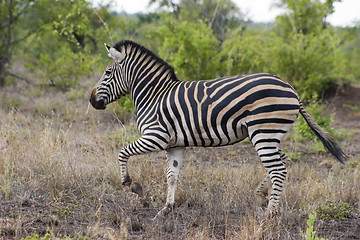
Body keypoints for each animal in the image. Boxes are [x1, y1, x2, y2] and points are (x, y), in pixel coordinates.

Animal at [88, 39, 348, 219]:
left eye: (107, 73)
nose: (91, 100)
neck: (155, 95)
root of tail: (292, 89)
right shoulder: (174, 144)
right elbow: (172, 176)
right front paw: (166, 209)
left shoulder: (156, 136)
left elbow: (122, 152)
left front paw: (131, 184)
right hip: (269, 135)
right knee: (284, 162)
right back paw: (261, 196)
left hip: (263, 133)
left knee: (278, 169)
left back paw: (270, 215)